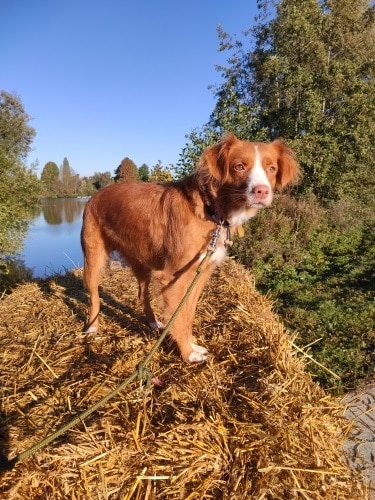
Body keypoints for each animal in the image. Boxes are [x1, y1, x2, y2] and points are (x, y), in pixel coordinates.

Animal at [80, 133, 300, 362]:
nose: (262, 191)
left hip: (142, 261)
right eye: (239, 166)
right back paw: (92, 328)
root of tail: (96, 194)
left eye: (272, 168)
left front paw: (192, 344)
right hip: (93, 260)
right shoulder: (173, 278)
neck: (210, 209)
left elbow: (187, 314)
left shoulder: (200, 274)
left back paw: (152, 322)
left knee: (142, 294)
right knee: (94, 296)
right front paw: (188, 353)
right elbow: (178, 317)